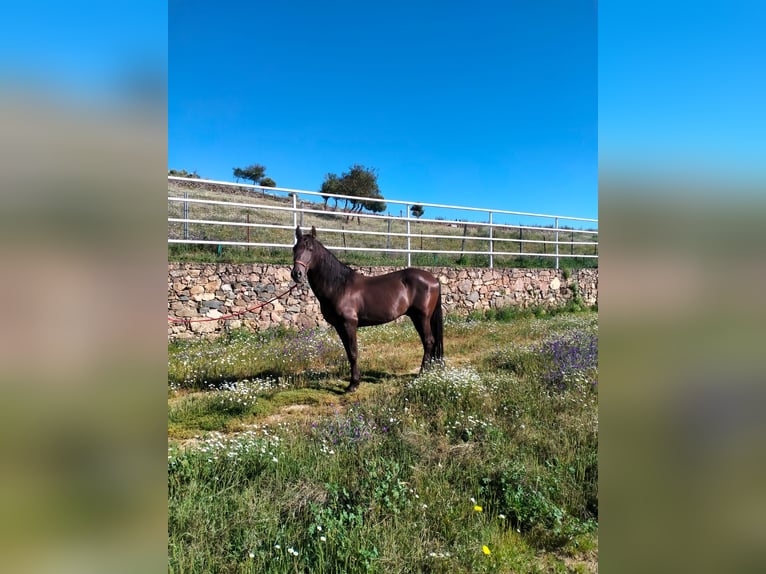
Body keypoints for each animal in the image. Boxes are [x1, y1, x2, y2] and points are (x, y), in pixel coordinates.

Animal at [292, 227, 444, 394]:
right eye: (294, 249)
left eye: (310, 249)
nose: (297, 274)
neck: (339, 286)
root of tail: (434, 279)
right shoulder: (339, 326)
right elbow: (348, 352)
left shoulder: (349, 324)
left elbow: (353, 353)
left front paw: (353, 384)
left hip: (422, 318)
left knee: (429, 342)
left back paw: (421, 374)